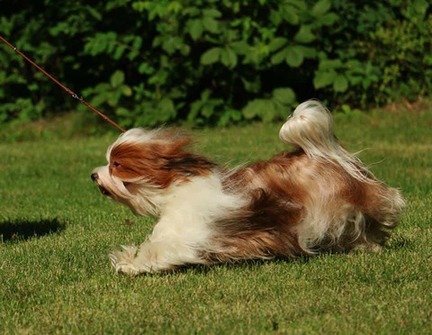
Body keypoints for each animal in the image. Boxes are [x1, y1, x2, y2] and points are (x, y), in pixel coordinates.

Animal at [91, 100, 404, 276]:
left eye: (116, 164)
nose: (94, 175)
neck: (175, 189)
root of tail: (321, 154)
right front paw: (127, 258)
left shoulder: (191, 236)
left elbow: (161, 251)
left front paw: (129, 265)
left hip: (338, 205)